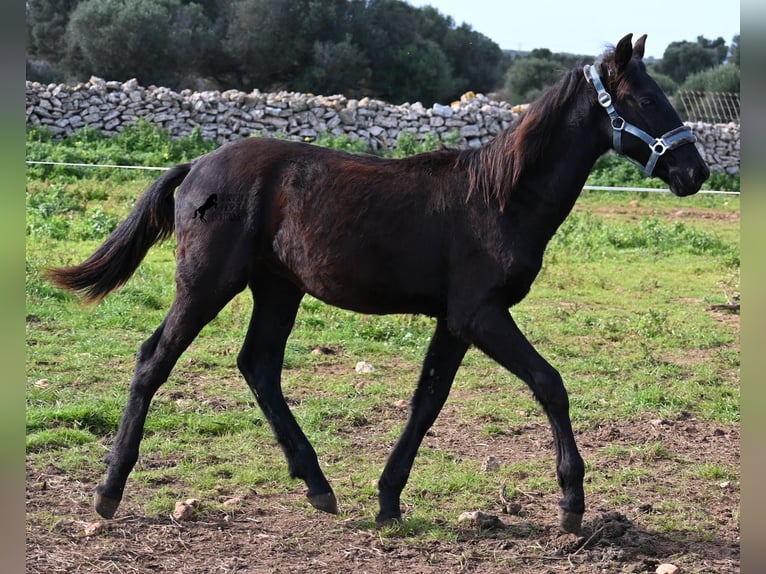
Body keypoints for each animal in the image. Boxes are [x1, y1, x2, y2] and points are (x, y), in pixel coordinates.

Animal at [46, 35, 708, 536]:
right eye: (646, 97)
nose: (695, 172)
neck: (498, 198)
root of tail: (194, 169)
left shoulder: (455, 322)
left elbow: (427, 401)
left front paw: (388, 499)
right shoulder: (481, 315)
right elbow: (551, 385)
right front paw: (572, 504)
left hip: (277, 288)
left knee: (258, 365)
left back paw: (318, 486)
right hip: (206, 284)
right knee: (153, 360)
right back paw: (108, 492)